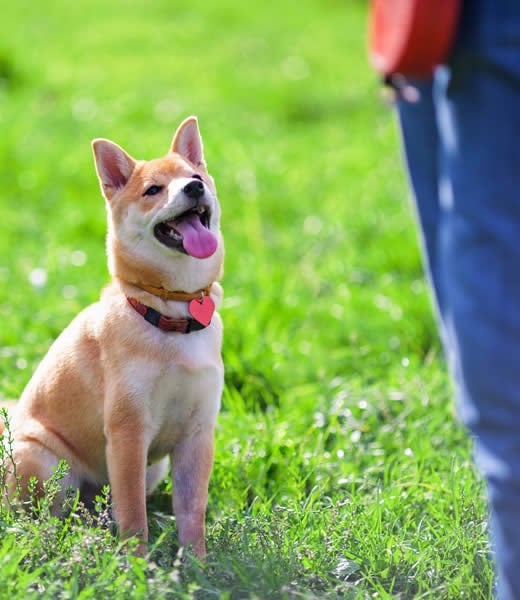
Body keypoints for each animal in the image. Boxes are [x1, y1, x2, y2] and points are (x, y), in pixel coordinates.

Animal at [0, 117, 223, 556]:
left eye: (196, 177)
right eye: (153, 190)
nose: (193, 189)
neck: (170, 312)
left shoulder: (197, 434)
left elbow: (193, 511)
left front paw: (198, 563)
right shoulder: (127, 432)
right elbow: (134, 515)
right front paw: (136, 563)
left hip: (152, 470)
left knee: (103, 509)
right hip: (44, 461)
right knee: (45, 518)